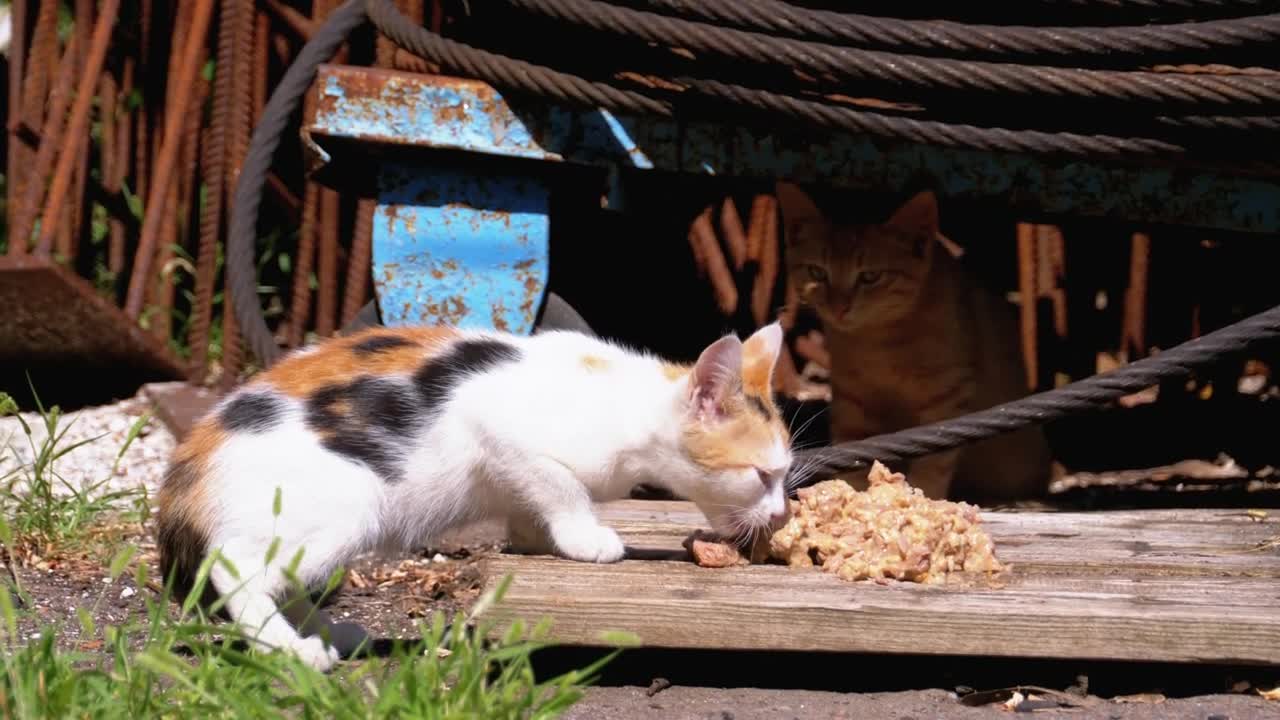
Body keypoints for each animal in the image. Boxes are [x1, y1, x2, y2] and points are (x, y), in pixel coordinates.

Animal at [154, 319, 793, 666]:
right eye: (763, 475)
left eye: (784, 476)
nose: (782, 514)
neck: (627, 402)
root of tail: (191, 460)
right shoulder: (495, 423)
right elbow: (561, 484)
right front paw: (588, 539)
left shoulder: (511, 470)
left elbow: (531, 498)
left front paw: (542, 541)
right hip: (350, 504)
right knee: (234, 565)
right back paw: (291, 650)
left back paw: (330, 631)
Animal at [773, 180, 1054, 499]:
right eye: (817, 272)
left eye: (870, 276)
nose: (839, 308)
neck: (877, 342)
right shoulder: (851, 399)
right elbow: (852, 450)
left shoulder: (947, 394)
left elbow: (935, 460)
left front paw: (924, 493)